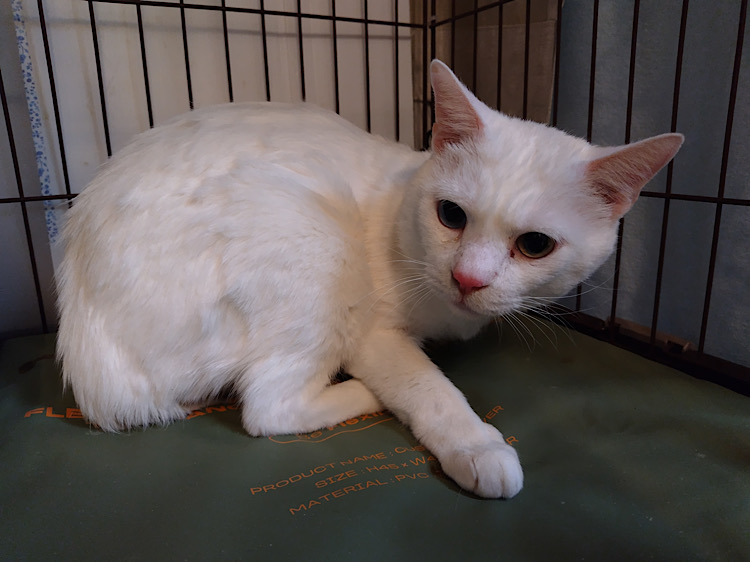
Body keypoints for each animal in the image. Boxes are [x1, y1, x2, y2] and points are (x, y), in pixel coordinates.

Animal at [56, 60, 682, 498]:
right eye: (450, 215)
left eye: (535, 246)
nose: (467, 278)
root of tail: (85, 342)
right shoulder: (375, 333)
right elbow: (429, 390)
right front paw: (477, 443)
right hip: (315, 242)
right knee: (267, 410)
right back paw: (365, 391)